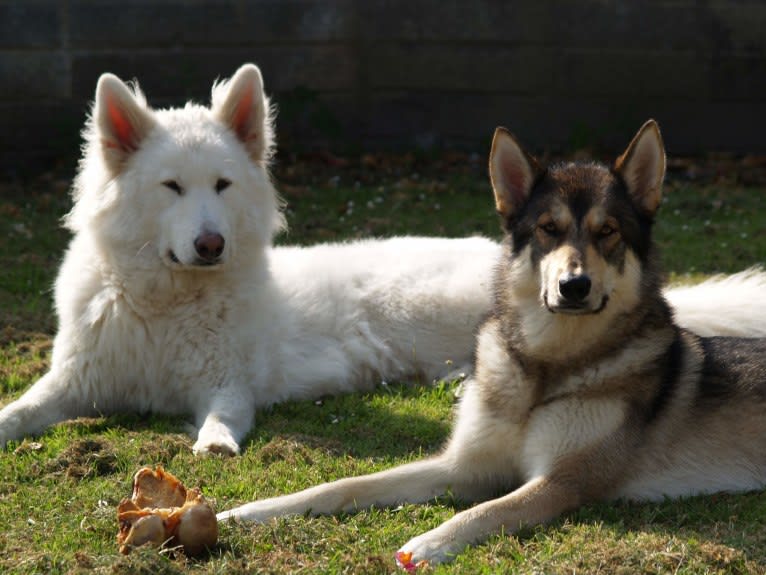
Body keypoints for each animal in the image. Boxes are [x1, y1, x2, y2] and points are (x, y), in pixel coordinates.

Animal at [1, 64, 766, 454]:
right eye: (171, 188)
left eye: (221, 186)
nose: (210, 243)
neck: (165, 302)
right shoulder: (72, 381)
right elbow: (19, 408)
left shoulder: (227, 385)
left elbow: (221, 416)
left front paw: (214, 442)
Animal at [218, 121, 766, 568]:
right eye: (548, 229)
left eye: (607, 231)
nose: (574, 286)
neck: (545, 366)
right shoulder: (464, 465)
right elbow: (348, 484)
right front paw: (253, 510)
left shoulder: (561, 483)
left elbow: (487, 510)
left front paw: (430, 542)